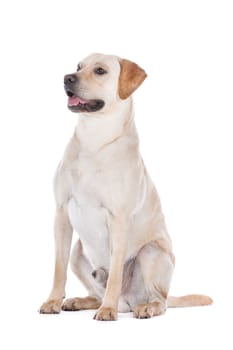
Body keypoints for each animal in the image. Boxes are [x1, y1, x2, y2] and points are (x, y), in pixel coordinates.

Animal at [40, 52, 213, 320]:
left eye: (100, 71)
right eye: (78, 66)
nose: (67, 78)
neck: (94, 140)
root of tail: (127, 302)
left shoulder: (118, 220)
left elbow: (114, 275)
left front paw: (107, 310)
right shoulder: (61, 213)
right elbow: (58, 268)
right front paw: (53, 301)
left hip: (151, 253)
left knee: (160, 300)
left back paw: (142, 307)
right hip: (77, 253)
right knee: (95, 290)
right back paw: (82, 301)